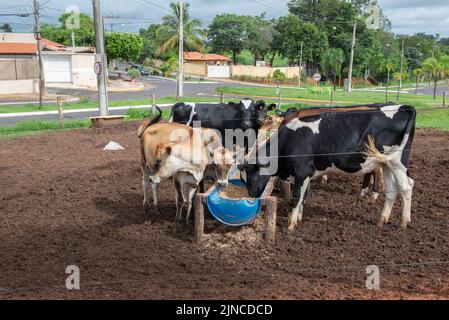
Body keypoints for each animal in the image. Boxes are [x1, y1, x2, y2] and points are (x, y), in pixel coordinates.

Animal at [240, 104, 414, 230]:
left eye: (252, 177)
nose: (252, 197)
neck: (291, 139)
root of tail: (404, 106)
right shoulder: (305, 174)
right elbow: (303, 196)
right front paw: (298, 218)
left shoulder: (302, 172)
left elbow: (297, 197)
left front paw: (291, 224)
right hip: (386, 163)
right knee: (392, 190)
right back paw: (382, 220)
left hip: (397, 161)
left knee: (406, 187)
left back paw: (404, 222)